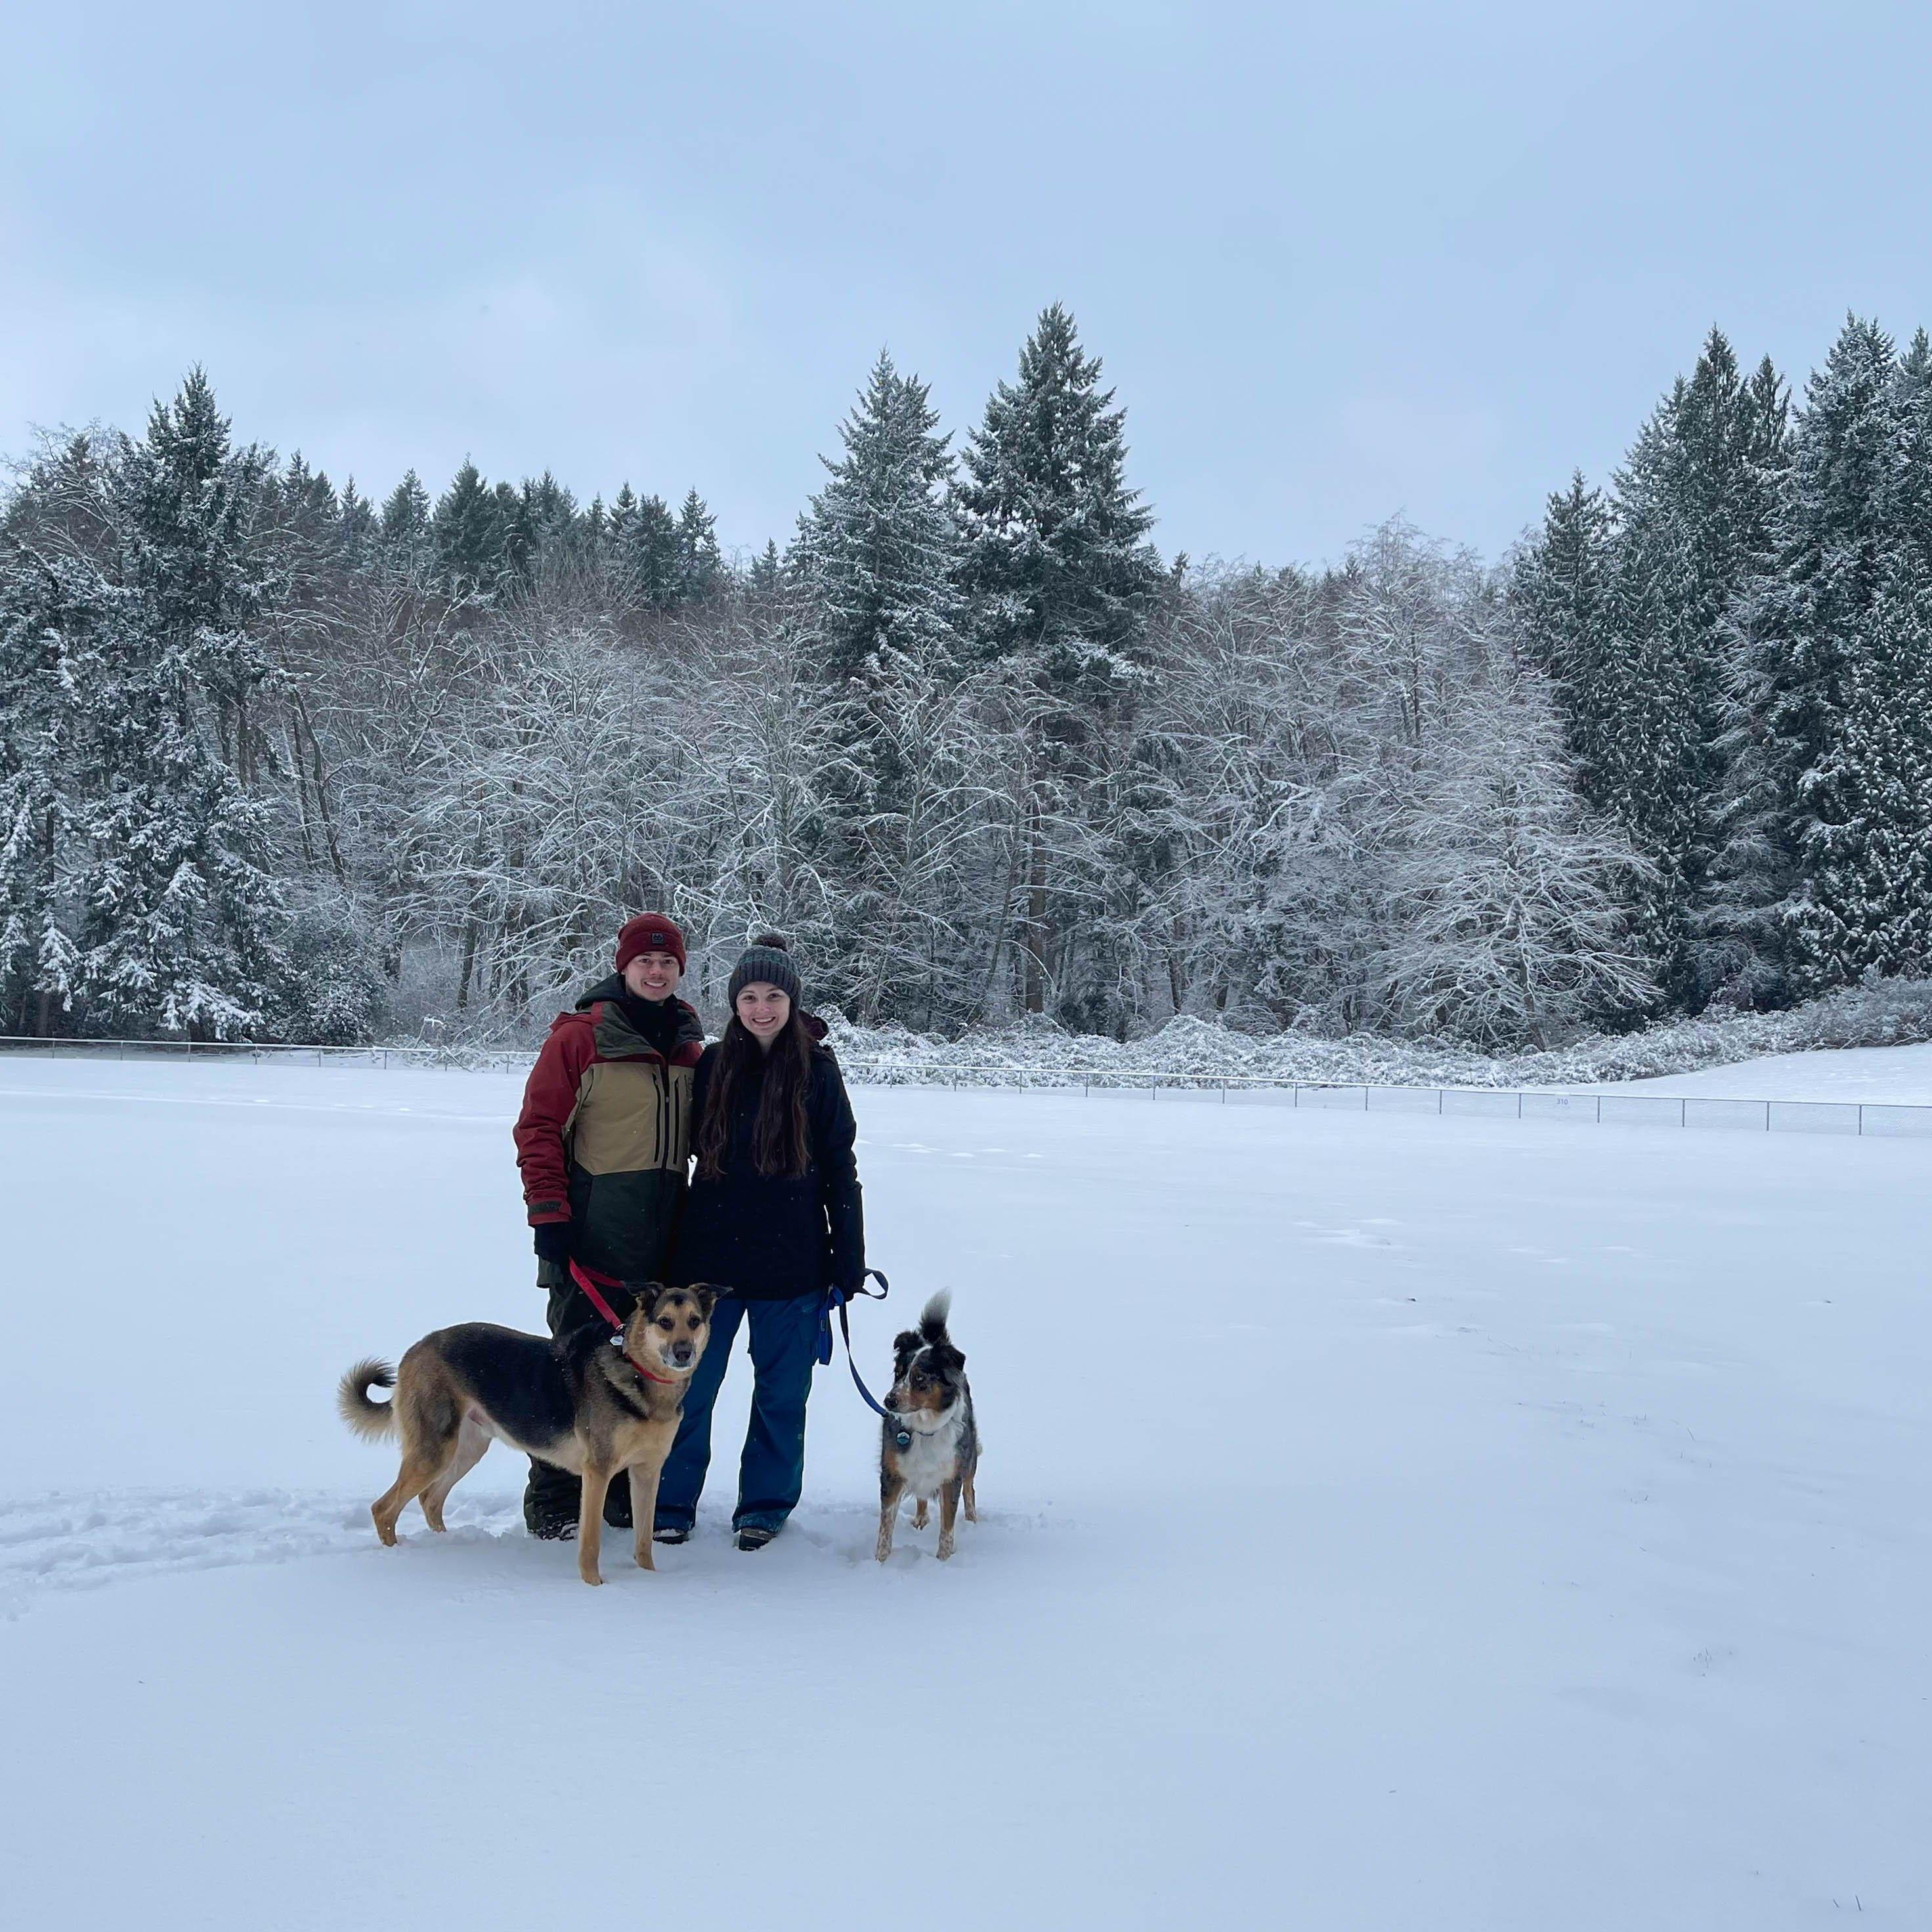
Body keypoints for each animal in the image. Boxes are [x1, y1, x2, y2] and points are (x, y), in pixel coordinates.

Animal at [338, 1283, 718, 1584]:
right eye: (665, 1322)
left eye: (694, 1321)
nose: (684, 1353)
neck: (641, 1374)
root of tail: (415, 1349)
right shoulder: (598, 1471)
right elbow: (591, 1542)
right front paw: (595, 1587)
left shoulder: (647, 1471)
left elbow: (644, 1541)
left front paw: (649, 1580)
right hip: (434, 1451)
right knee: (383, 1509)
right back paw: (399, 1558)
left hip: (467, 1449)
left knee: (430, 1500)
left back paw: (445, 1546)